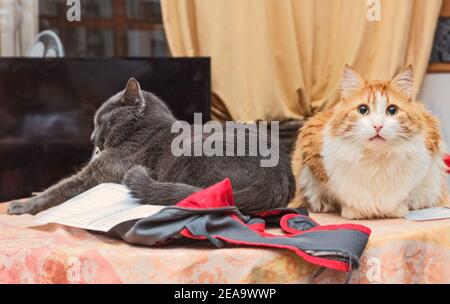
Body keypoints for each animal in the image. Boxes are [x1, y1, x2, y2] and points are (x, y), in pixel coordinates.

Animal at [7, 78, 296, 216]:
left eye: (100, 122)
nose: (91, 138)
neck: (144, 130)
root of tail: (275, 176)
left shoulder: (98, 173)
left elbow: (59, 189)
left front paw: (21, 206)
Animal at [290, 65, 448, 220]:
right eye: (363, 109)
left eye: (392, 110)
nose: (377, 126)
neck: (375, 159)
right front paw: (353, 211)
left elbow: (406, 194)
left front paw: (397, 210)